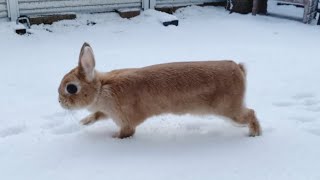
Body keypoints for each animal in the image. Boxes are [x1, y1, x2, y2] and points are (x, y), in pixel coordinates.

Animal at [58, 43, 262, 139]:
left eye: (71, 88)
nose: (60, 102)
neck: (101, 88)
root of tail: (239, 69)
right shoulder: (107, 112)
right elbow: (98, 115)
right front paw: (84, 122)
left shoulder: (125, 120)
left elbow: (127, 132)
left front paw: (113, 138)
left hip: (229, 109)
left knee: (251, 113)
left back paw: (254, 134)